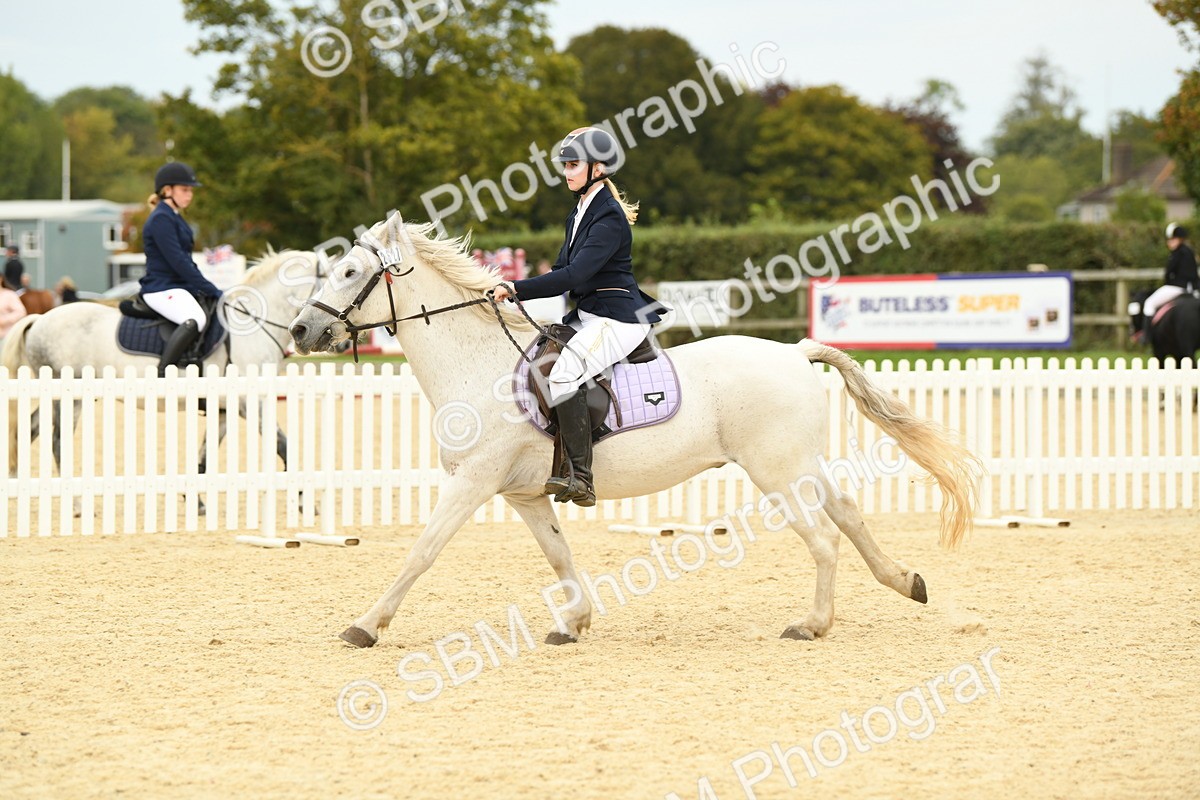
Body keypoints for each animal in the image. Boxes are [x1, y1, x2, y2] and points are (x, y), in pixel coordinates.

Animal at [3, 250, 326, 493]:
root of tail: (39, 319)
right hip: (71, 398)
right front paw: (302, 498)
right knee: (58, 443)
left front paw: (196, 502)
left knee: (29, 429)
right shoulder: (253, 403)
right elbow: (284, 445)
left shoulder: (225, 408)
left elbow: (205, 457)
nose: (306, 333)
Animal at [288, 215, 981, 648]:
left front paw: (366, 625)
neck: (477, 362)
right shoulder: (524, 494)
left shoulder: (474, 482)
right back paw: (905, 582)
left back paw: (811, 625)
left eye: (349, 272)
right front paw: (573, 622)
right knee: (850, 516)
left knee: (824, 540)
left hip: (776, 471)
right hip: (801, 464)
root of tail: (795, 351)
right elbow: (559, 554)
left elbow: (421, 552)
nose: (299, 330)